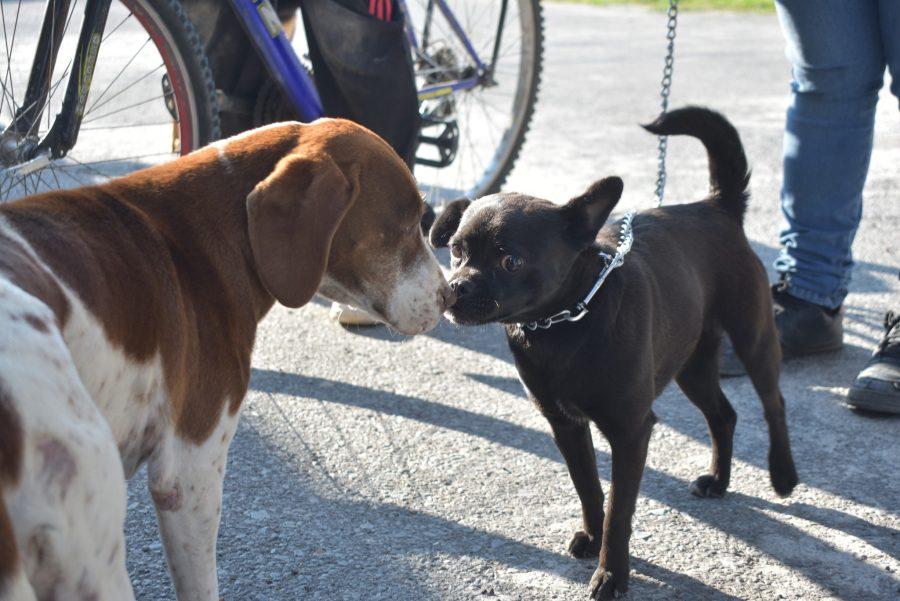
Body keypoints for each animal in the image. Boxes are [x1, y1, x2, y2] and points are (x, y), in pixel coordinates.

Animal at [432, 108, 800, 600]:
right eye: (456, 251)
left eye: (510, 261)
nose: (454, 289)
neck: (564, 323)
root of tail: (715, 205)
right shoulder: (566, 426)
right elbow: (589, 489)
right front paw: (592, 537)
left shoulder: (630, 432)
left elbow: (620, 512)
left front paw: (612, 574)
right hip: (691, 366)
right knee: (724, 415)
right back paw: (719, 480)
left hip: (753, 337)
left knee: (773, 402)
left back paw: (783, 474)